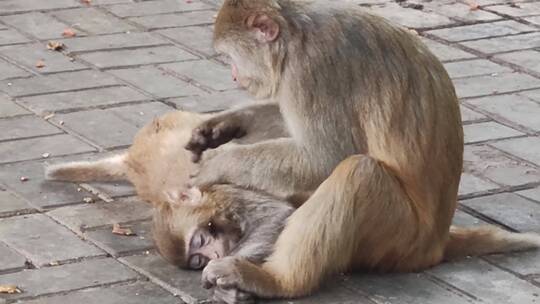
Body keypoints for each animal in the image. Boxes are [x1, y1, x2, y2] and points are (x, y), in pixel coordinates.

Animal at [174, 0, 540, 300]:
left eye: (230, 58)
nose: (234, 76)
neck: (296, 38)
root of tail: (436, 243)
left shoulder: (313, 72)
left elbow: (325, 157)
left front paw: (220, 162)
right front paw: (223, 125)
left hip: (400, 236)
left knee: (358, 172)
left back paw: (278, 282)